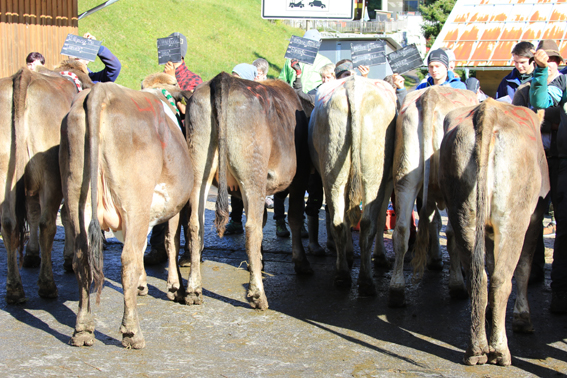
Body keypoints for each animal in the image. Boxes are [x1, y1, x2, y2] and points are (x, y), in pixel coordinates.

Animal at [0, 62, 93, 304]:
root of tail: (23, 77)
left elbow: (32, 214)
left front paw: (32, 254)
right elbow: (67, 216)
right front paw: (69, 257)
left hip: (5, 173)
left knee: (9, 224)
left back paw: (14, 289)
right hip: (49, 174)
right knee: (47, 224)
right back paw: (47, 285)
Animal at [184, 71, 310, 310]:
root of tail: (224, 78)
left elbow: (264, 218)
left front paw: (259, 262)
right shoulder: (299, 179)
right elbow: (295, 218)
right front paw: (301, 263)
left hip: (198, 166)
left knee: (195, 224)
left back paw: (193, 290)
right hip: (253, 172)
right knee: (252, 228)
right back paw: (258, 296)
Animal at [440, 98, 552, 366]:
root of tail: (488, 109)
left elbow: (489, 263)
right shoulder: (535, 218)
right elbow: (523, 268)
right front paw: (523, 318)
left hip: (463, 211)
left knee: (478, 275)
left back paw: (477, 350)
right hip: (513, 218)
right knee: (502, 279)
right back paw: (500, 351)